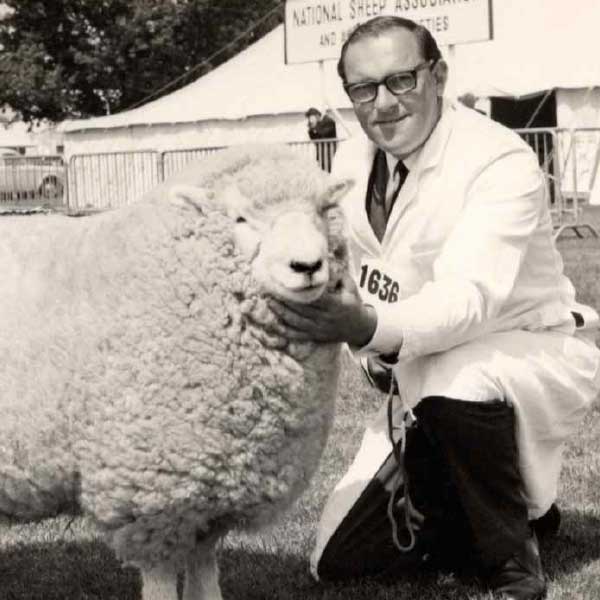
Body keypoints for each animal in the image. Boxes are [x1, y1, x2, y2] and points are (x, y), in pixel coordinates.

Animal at [0, 145, 354, 600]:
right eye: (240, 218)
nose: (307, 266)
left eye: (325, 210)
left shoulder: (210, 494)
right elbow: (162, 578)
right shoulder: (153, 493)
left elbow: (204, 570)